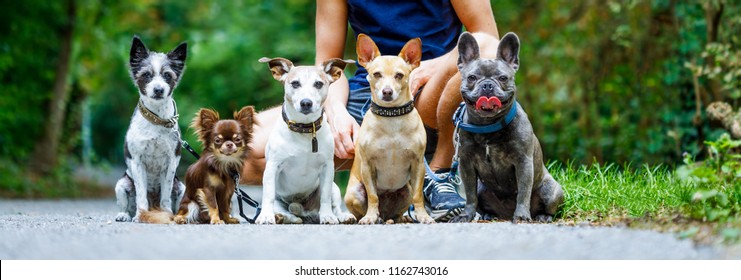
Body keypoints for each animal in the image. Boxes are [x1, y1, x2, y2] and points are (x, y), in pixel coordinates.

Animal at [115, 35, 188, 223]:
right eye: (146, 74)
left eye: (167, 75)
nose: (158, 89)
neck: (157, 120)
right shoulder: (137, 162)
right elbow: (141, 194)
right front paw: (140, 215)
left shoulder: (171, 162)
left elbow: (166, 195)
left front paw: (167, 213)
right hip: (121, 184)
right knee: (126, 205)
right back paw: (124, 215)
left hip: (182, 187)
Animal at [344, 34, 436, 224]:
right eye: (376, 74)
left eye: (399, 75)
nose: (387, 91)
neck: (391, 116)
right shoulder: (368, 166)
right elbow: (373, 196)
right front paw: (370, 217)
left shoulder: (418, 165)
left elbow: (418, 196)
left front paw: (423, 216)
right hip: (353, 193)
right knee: (364, 210)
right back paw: (363, 217)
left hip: (406, 192)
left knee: (398, 212)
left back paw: (400, 219)